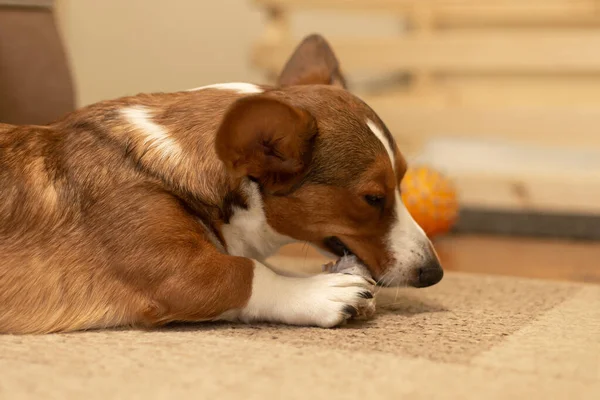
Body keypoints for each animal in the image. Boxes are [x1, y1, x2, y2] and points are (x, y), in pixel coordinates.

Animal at [0, 35, 440, 334]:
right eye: (373, 198)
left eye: (403, 180)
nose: (434, 274)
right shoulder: (177, 273)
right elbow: (246, 272)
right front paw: (324, 291)